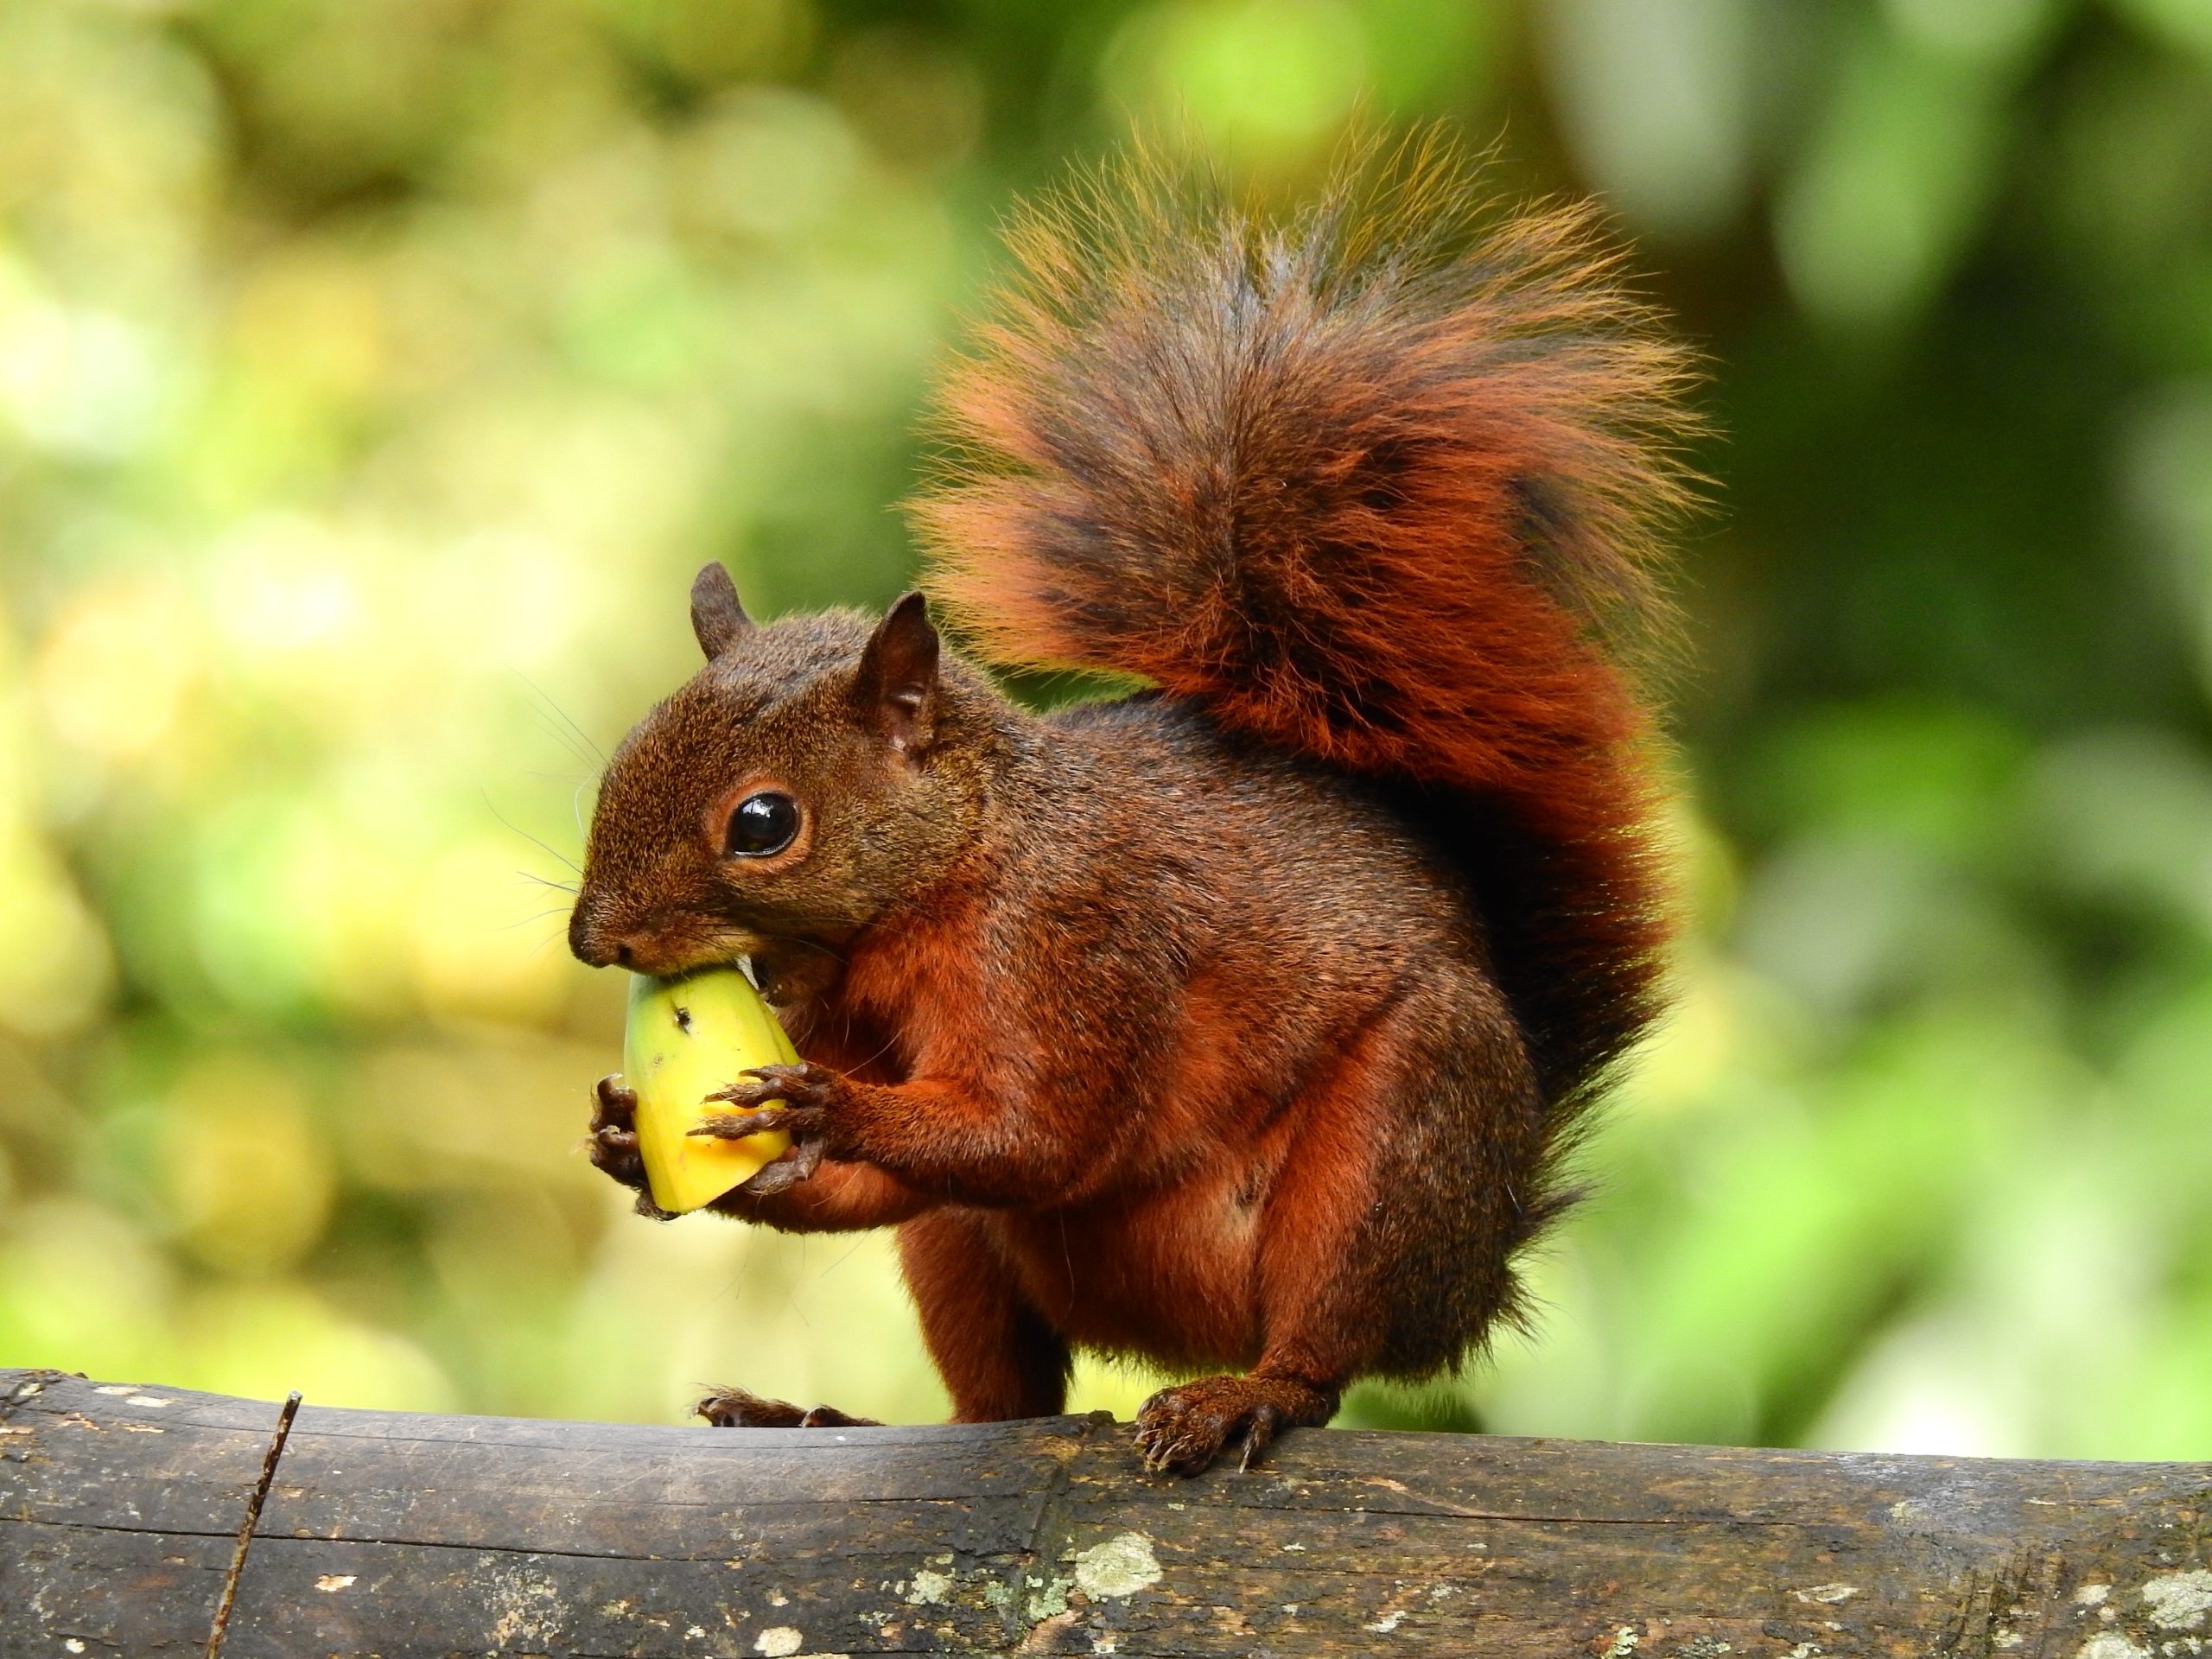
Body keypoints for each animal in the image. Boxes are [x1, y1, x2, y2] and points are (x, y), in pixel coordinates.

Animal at [567, 137, 1699, 1475]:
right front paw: (629, 1138)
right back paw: (821, 1415)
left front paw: (821, 1103)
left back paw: (1241, 1398)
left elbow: (1042, 1134)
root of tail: (1480, 1269)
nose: (593, 939)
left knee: (1323, 1347)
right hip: (975, 1259)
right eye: (620, 759)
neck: (951, 874)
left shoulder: (1074, 942)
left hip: (1398, 1140)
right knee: (1000, 1387)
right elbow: (882, 1182)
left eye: (761, 824)